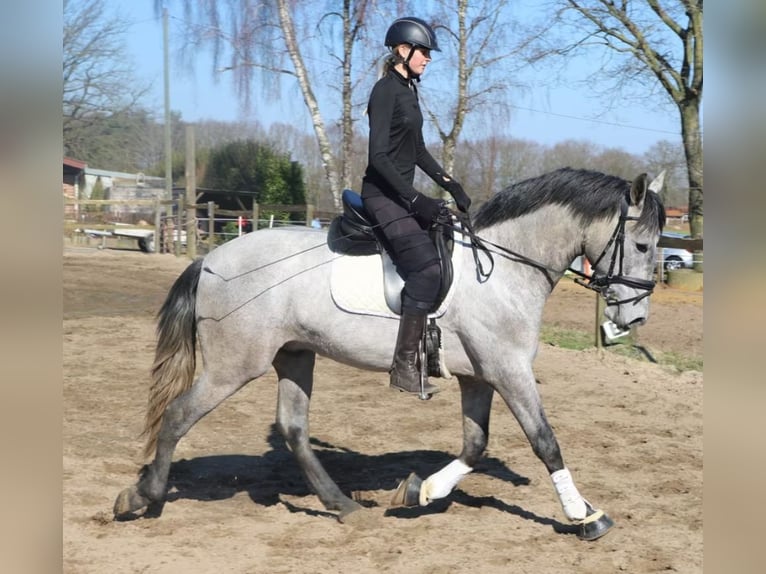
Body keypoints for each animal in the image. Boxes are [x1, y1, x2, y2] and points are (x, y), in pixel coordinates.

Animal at [114, 167, 666, 541]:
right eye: (642, 245)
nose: (635, 317)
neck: (504, 267)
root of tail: (210, 260)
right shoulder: (508, 370)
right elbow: (545, 440)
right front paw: (586, 516)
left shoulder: (479, 376)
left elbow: (474, 444)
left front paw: (419, 491)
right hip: (235, 366)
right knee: (178, 414)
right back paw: (142, 497)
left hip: (295, 355)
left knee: (293, 429)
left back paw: (342, 505)